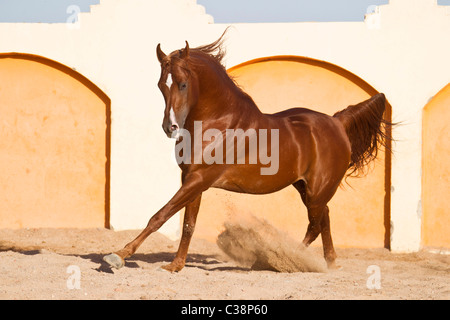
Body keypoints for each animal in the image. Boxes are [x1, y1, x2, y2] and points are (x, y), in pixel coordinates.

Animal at [103, 35, 392, 272]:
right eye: (161, 84)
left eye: (183, 84)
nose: (169, 127)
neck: (217, 122)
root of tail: (336, 122)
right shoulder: (192, 179)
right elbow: (187, 224)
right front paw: (176, 265)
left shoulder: (199, 179)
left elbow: (160, 215)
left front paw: (118, 256)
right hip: (305, 187)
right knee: (324, 218)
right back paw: (326, 262)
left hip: (318, 189)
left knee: (315, 222)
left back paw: (286, 259)